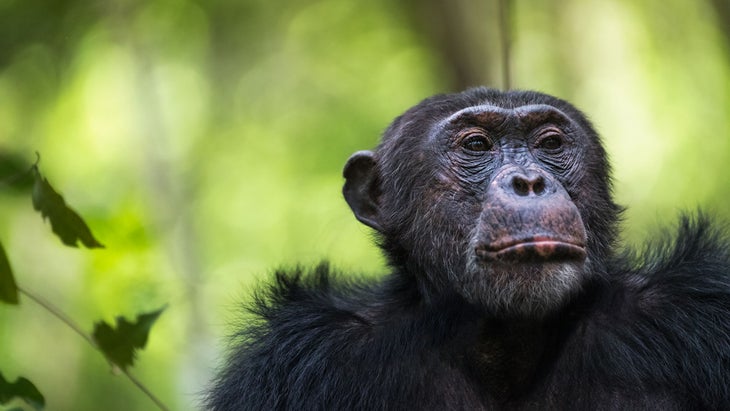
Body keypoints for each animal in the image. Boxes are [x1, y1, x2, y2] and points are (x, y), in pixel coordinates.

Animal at [205, 88, 728, 410]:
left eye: (551, 143)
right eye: (476, 145)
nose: (529, 181)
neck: (500, 342)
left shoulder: (699, 304)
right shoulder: (293, 359)